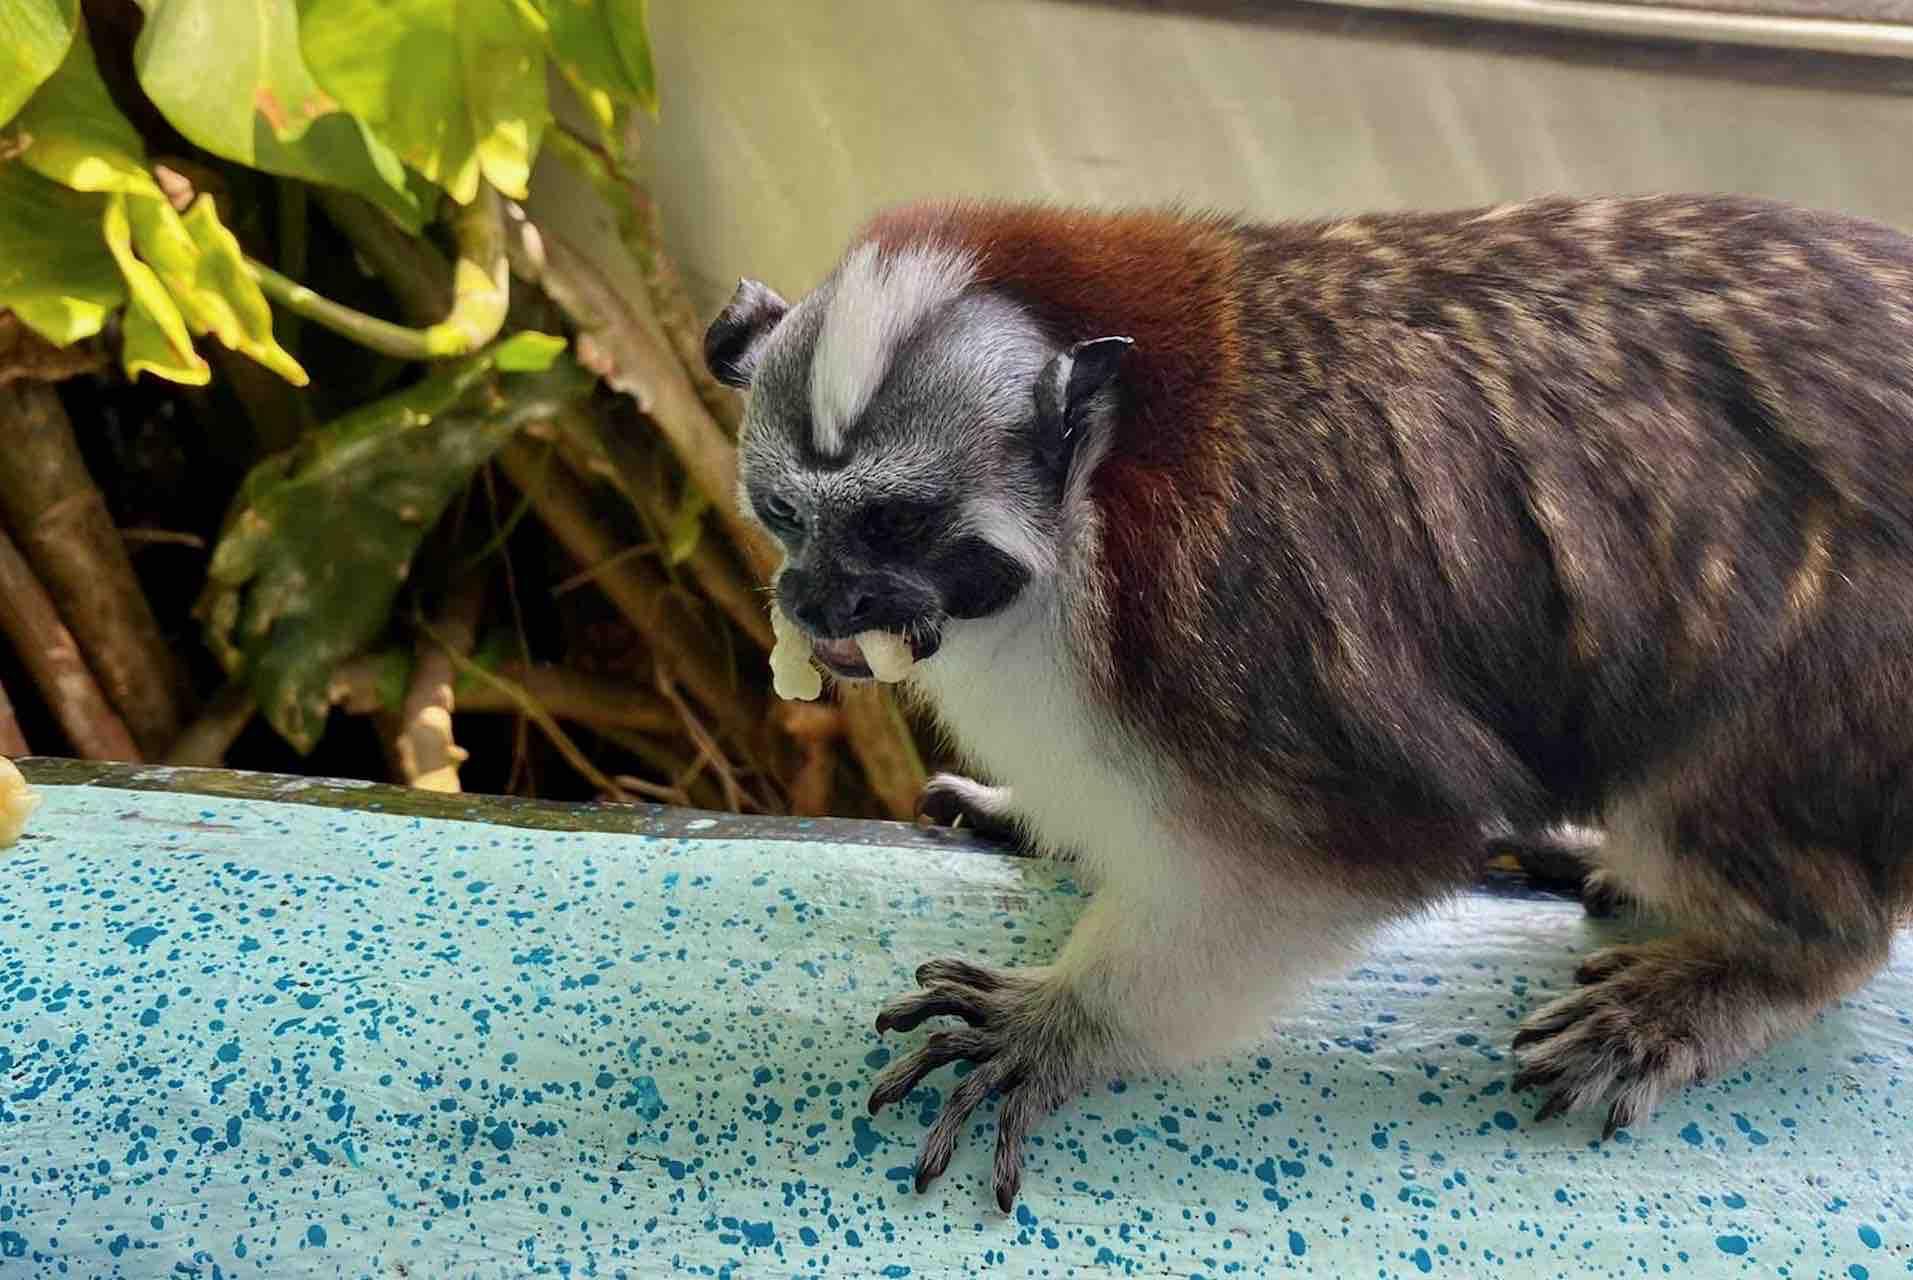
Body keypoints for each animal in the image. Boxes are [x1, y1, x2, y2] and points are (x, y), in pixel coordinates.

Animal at [703, 193, 1913, 1212]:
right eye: (785, 514)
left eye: (895, 525)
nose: (816, 599)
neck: (1092, 504)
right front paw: (1033, 819)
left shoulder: (1223, 632)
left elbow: (1345, 854)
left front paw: (1059, 1026)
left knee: (1724, 810)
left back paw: (1756, 966)